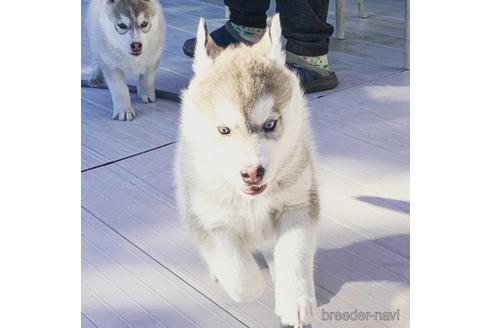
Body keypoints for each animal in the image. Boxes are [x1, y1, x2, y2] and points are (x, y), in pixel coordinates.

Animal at [175, 14, 320, 326]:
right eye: (223, 130)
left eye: (270, 124)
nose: (253, 173)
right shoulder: (210, 220)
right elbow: (242, 278)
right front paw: (253, 286)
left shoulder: (299, 205)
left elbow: (294, 254)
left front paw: (295, 300)